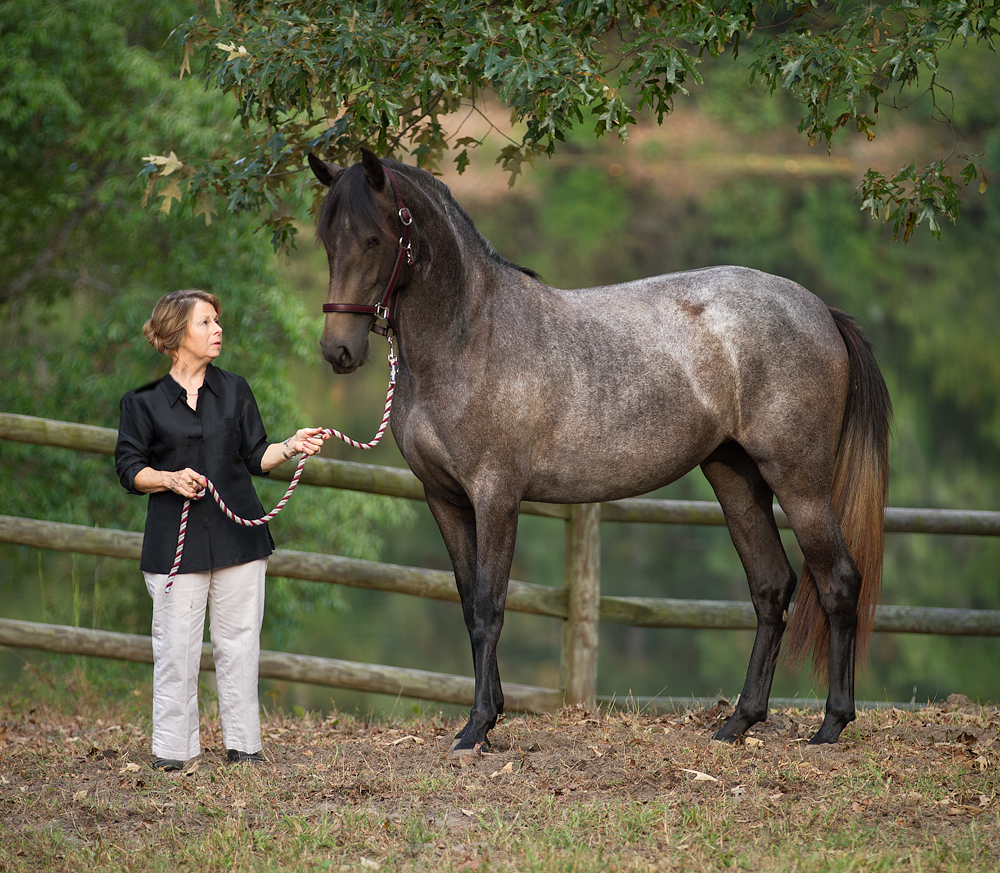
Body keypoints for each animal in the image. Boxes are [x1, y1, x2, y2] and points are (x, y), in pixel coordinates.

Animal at [306, 150, 892, 748]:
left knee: (838, 581)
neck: (468, 338)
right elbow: (470, 604)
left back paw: (831, 724)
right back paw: (738, 722)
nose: (339, 350)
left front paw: (477, 727)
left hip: (799, 483)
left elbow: (490, 607)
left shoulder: (496, 498)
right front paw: (489, 714)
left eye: (374, 239)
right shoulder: (443, 499)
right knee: (772, 587)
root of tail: (820, 311)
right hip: (735, 475)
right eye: (327, 238)